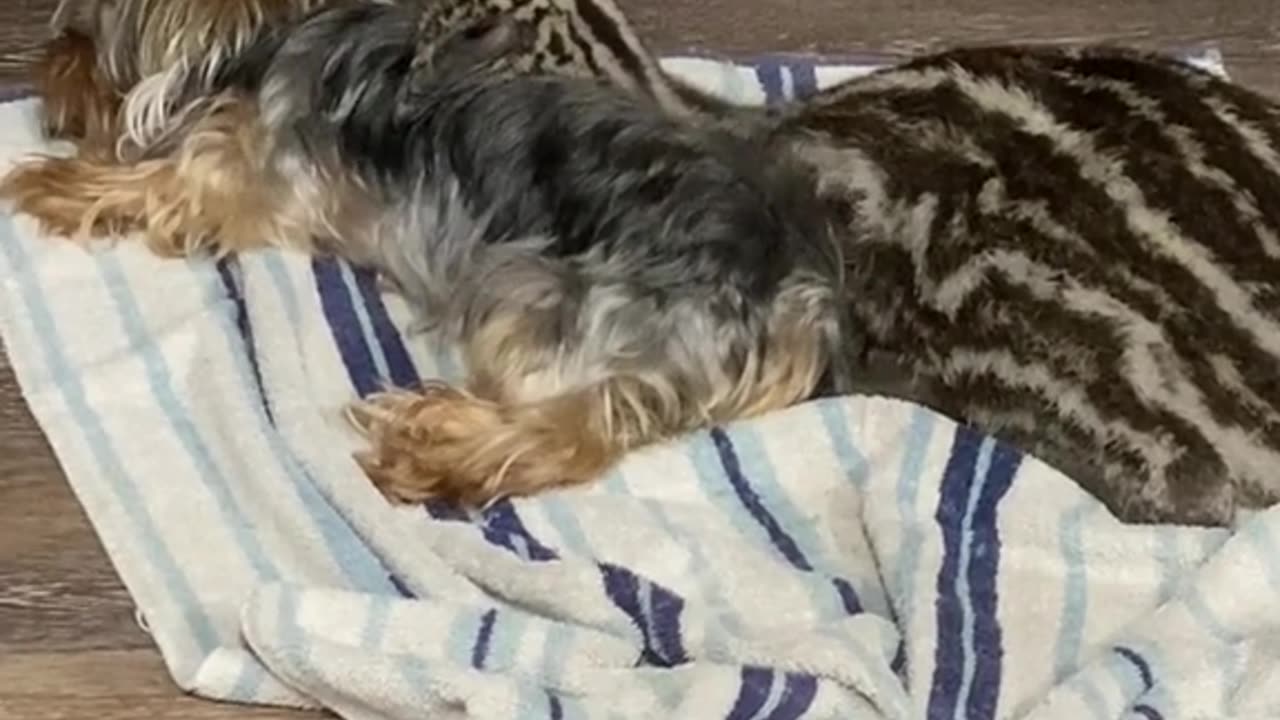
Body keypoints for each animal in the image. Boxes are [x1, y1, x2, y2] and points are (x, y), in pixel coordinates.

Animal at [5, 1, 855, 504]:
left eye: (78, 39)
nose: (45, 78)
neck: (281, 32)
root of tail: (795, 297)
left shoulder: (250, 170)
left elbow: (164, 184)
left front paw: (55, 183)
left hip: (548, 295)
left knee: (568, 432)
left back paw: (438, 446)